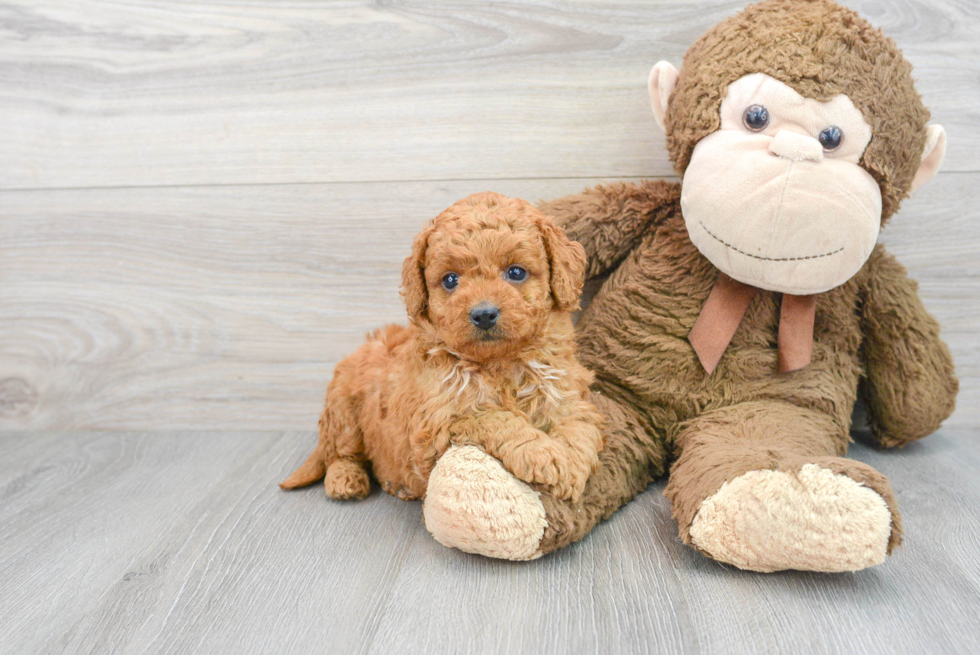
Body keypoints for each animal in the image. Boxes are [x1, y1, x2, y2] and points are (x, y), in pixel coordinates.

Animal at [280, 192, 600, 504]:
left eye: (516, 273)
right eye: (450, 280)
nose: (484, 314)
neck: (499, 363)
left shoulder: (567, 392)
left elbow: (580, 427)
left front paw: (572, 465)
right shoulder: (439, 423)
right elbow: (497, 418)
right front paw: (544, 454)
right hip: (343, 410)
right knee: (341, 452)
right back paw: (345, 479)